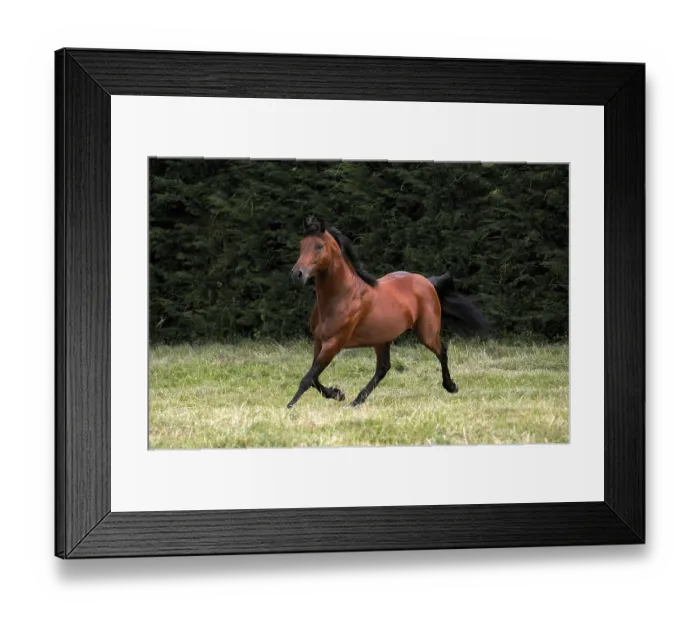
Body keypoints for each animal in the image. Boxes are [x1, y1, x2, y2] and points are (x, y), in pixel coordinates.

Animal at [287, 215, 488, 409]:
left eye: (319, 246)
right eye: (302, 245)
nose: (297, 274)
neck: (342, 296)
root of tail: (426, 282)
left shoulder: (334, 343)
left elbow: (308, 378)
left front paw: (289, 406)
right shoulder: (319, 342)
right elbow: (314, 378)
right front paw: (337, 394)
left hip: (426, 333)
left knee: (442, 351)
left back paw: (451, 386)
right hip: (382, 338)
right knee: (383, 368)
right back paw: (356, 401)